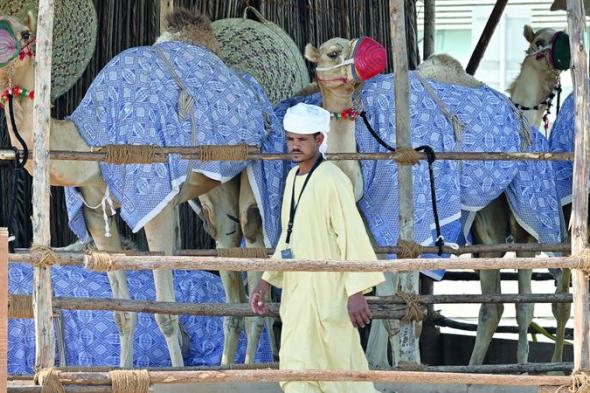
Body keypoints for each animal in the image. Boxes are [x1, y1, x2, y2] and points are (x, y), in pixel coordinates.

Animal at [0, 9, 280, 370]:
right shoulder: (95, 214)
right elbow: (123, 313)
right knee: (232, 290)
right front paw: (123, 370)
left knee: (256, 268)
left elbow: (166, 313)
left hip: (255, 175)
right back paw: (226, 365)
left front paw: (176, 373)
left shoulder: (156, 204)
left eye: (23, 33)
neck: (91, 142)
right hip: (216, 197)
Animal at [306, 26, 568, 366]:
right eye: (333, 53)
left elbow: (403, 312)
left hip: (530, 214)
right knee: (500, 304)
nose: (371, 53)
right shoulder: (375, 235)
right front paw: (382, 365)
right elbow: (384, 308)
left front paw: (407, 365)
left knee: (527, 300)